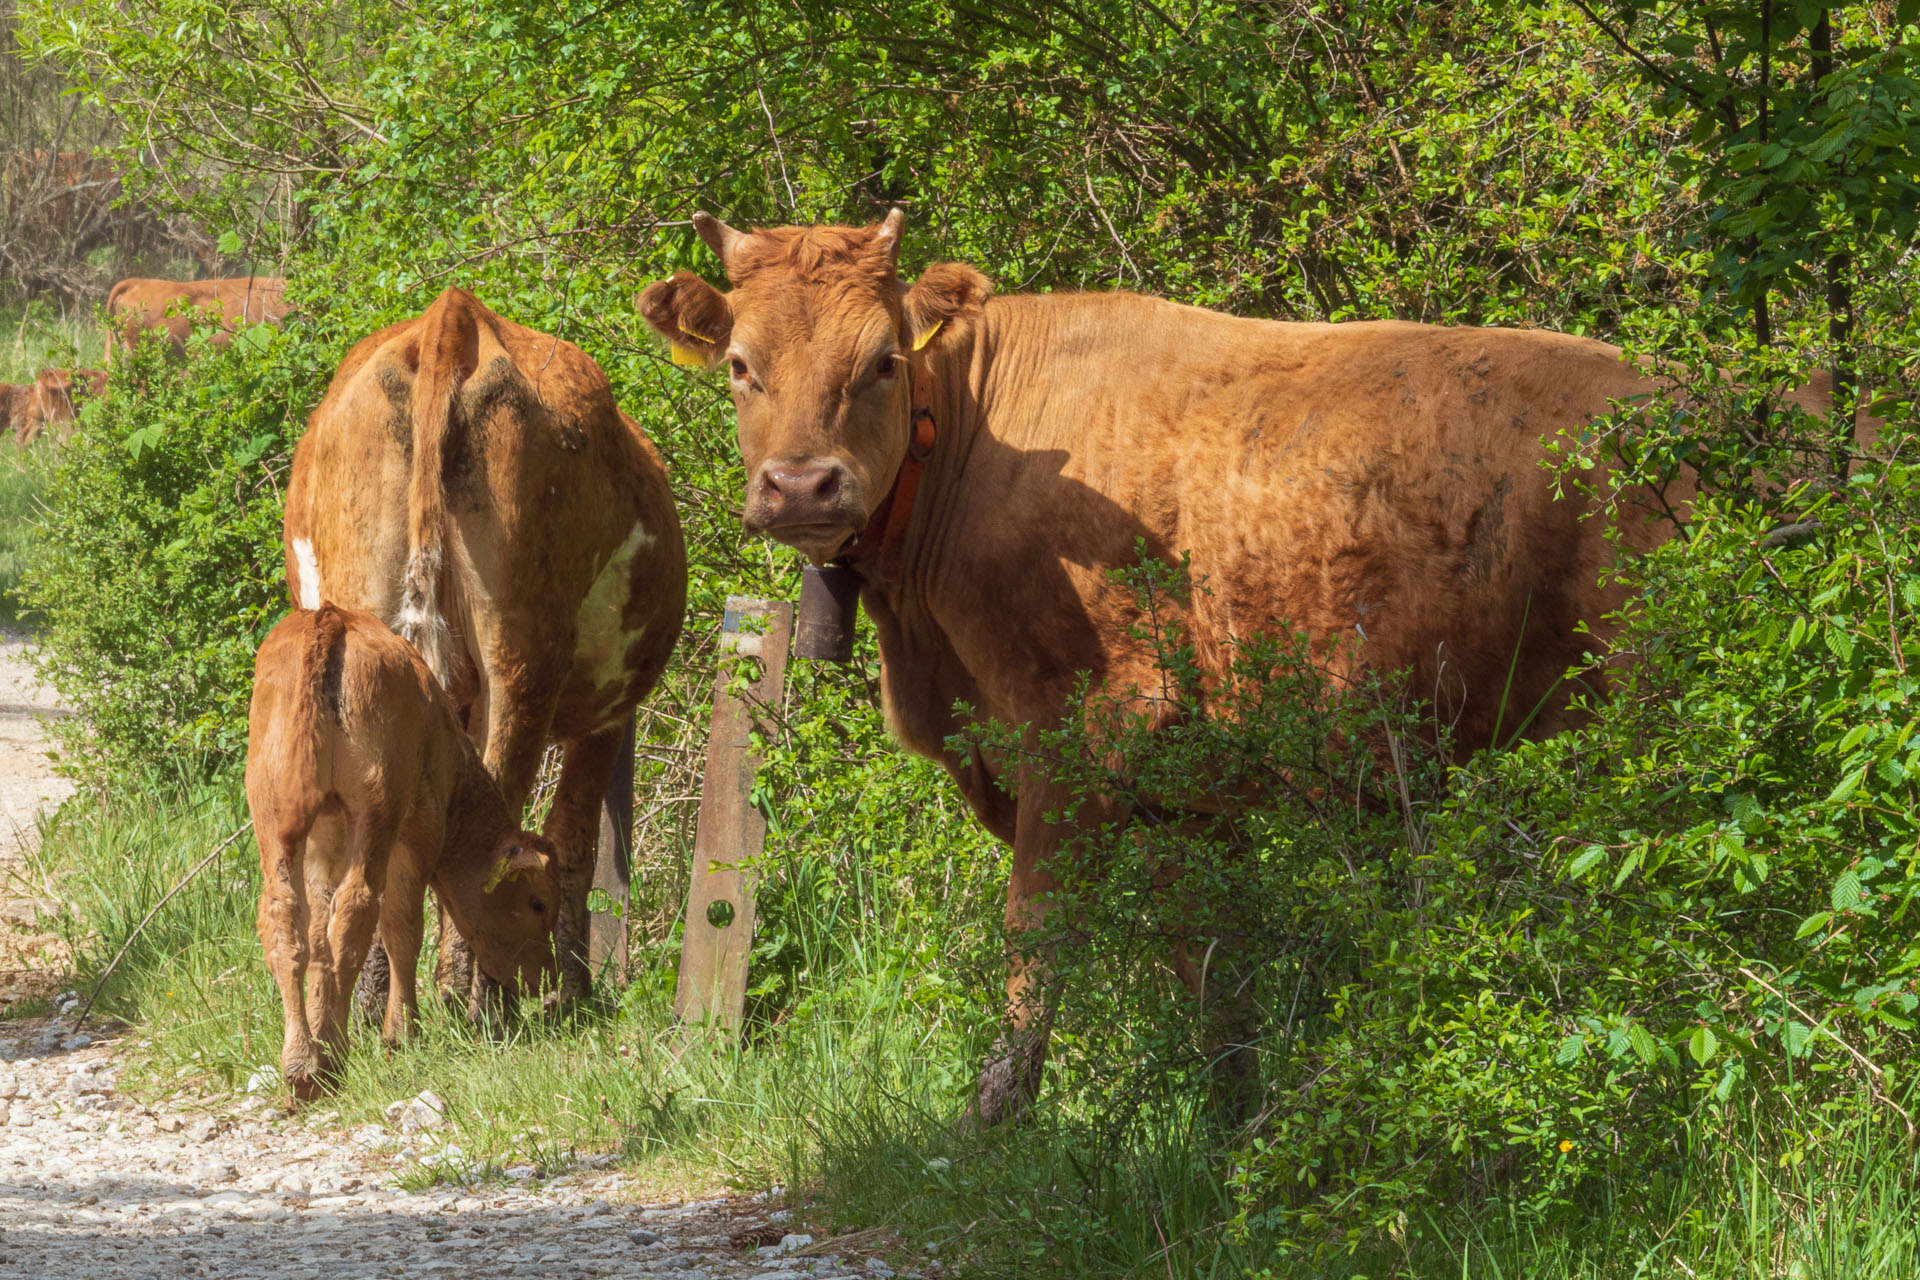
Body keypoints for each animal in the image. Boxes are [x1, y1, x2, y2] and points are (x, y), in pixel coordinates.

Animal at [243, 606, 560, 1105]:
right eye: (538, 903)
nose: (545, 979)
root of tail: (329, 618)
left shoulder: (323, 847)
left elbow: (317, 934)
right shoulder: (419, 832)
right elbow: (402, 928)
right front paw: (402, 1033)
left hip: (273, 810)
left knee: (283, 914)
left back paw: (301, 1065)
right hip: (377, 809)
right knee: (358, 910)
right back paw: (330, 1063)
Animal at [280, 285, 683, 1005]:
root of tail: (455, 318)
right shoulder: (608, 714)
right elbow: (574, 841)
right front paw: (571, 991)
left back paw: (373, 999)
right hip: (522, 660)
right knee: (499, 830)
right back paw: (477, 1003)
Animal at [645, 208, 1858, 1120]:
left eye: (884, 360)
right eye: (742, 366)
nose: (804, 486)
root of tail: (1762, 407)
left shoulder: (1075, 741)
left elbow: (1035, 946)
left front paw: (993, 1124)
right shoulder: (1182, 787)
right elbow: (1212, 970)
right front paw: (1238, 1121)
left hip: (1654, 718)